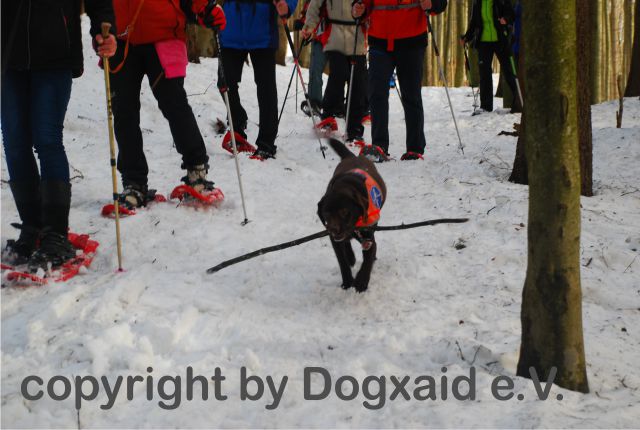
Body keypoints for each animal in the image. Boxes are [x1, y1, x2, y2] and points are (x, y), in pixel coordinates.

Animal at [318, 139, 388, 292]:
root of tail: (352, 156)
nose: (333, 229)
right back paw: (351, 256)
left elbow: (368, 259)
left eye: (344, 211)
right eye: (326, 213)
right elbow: (342, 260)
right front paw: (347, 281)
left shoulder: (368, 238)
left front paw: (361, 281)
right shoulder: (335, 240)